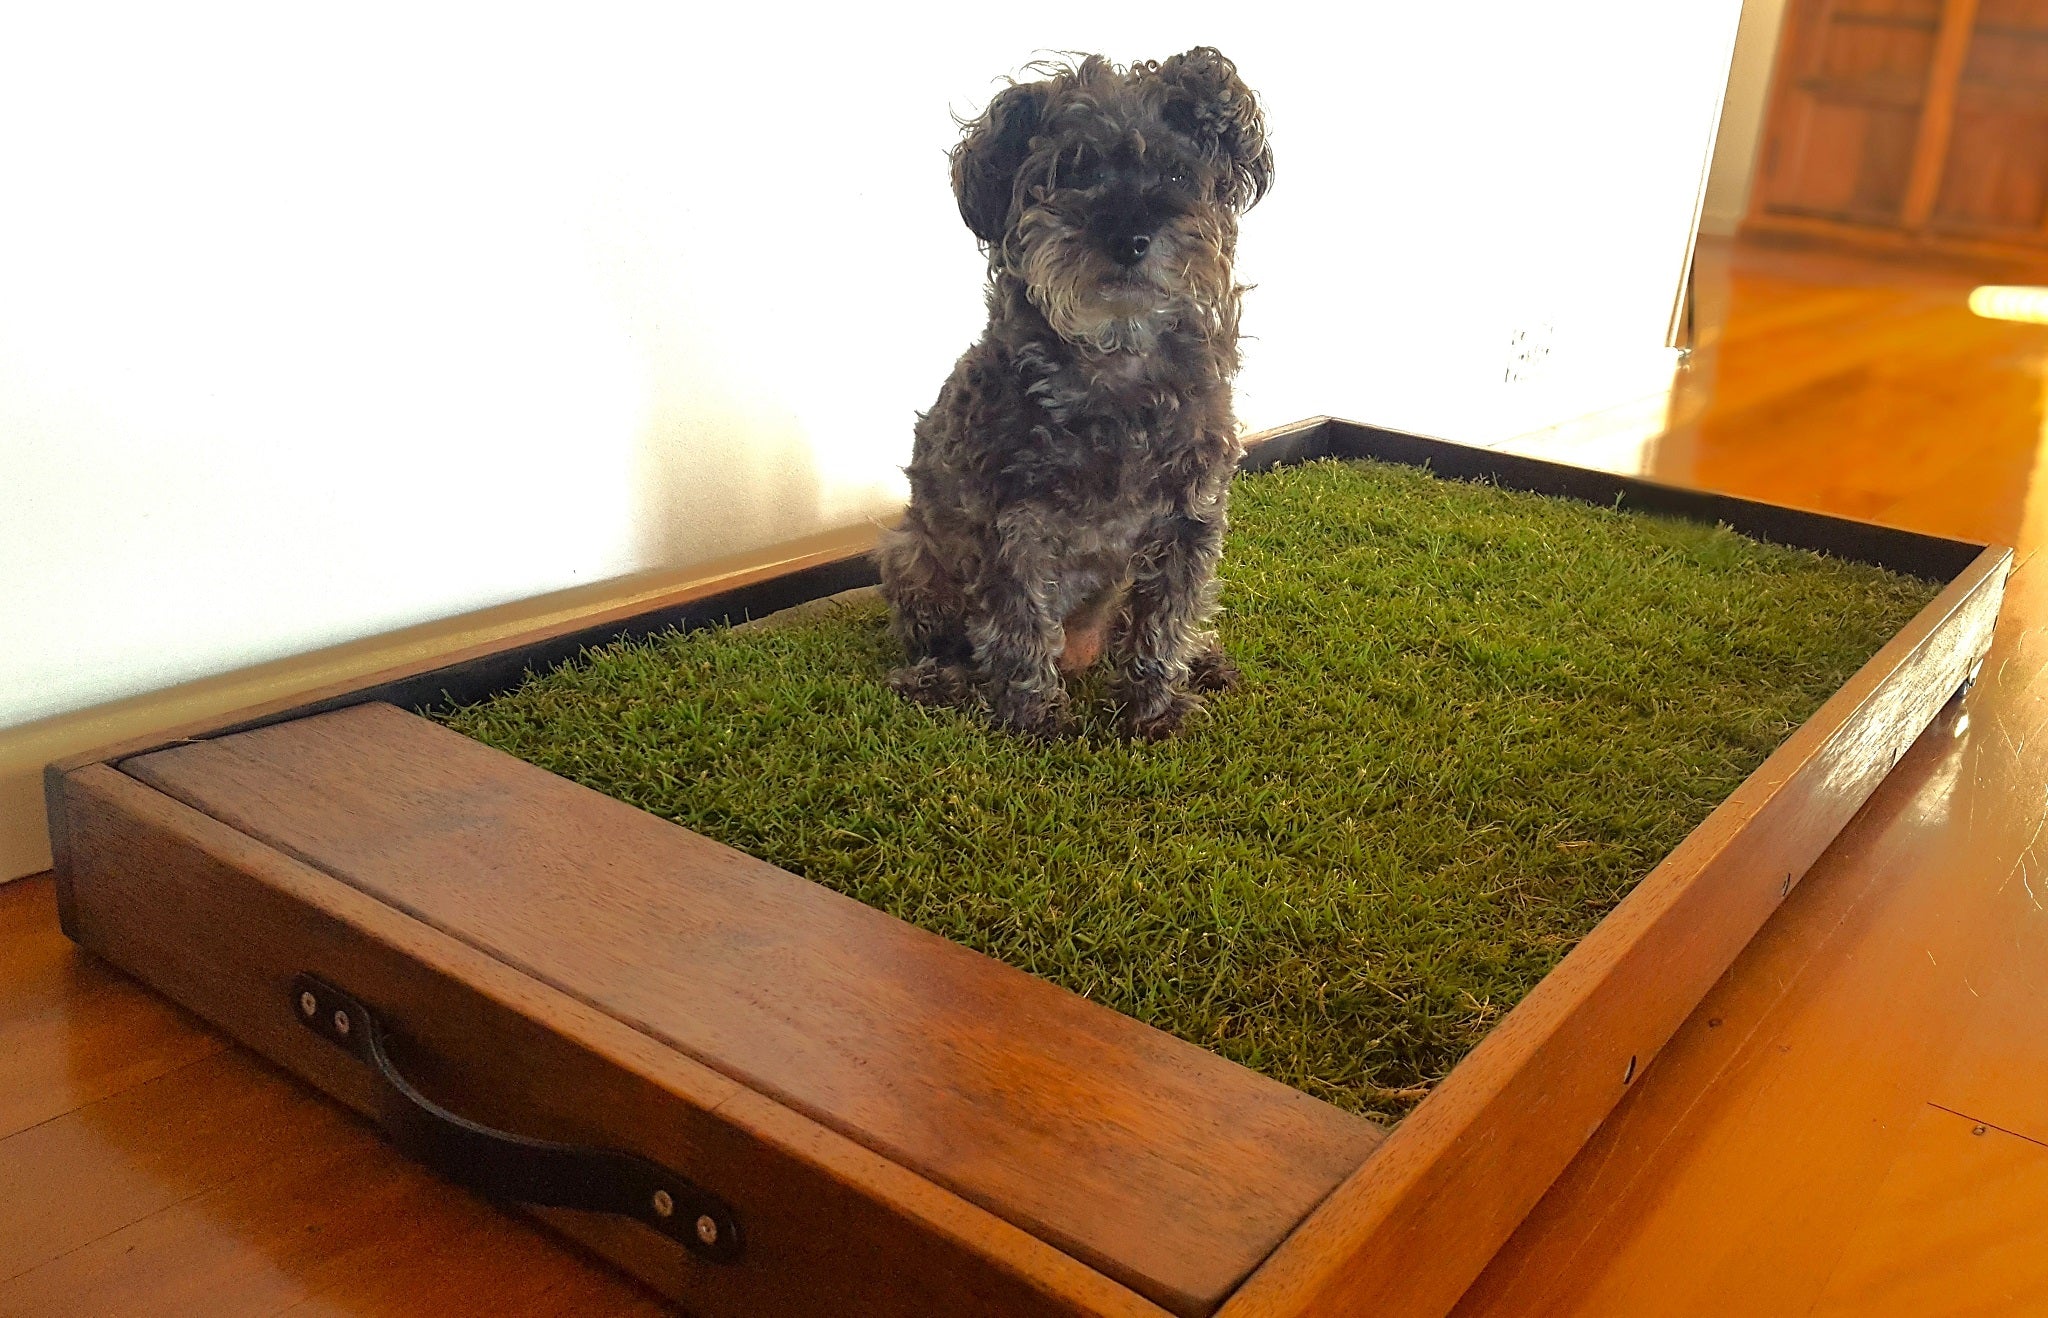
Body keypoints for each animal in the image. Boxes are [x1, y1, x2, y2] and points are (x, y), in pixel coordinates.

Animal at [876, 46, 1269, 740]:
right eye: (1070, 173)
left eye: (1176, 173)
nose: (1130, 239)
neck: (1115, 364)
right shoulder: (1011, 524)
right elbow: (1018, 626)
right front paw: (1032, 719)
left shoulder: (1190, 519)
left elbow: (1165, 624)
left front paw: (1154, 710)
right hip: (912, 558)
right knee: (949, 643)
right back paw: (936, 681)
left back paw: (1204, 663)